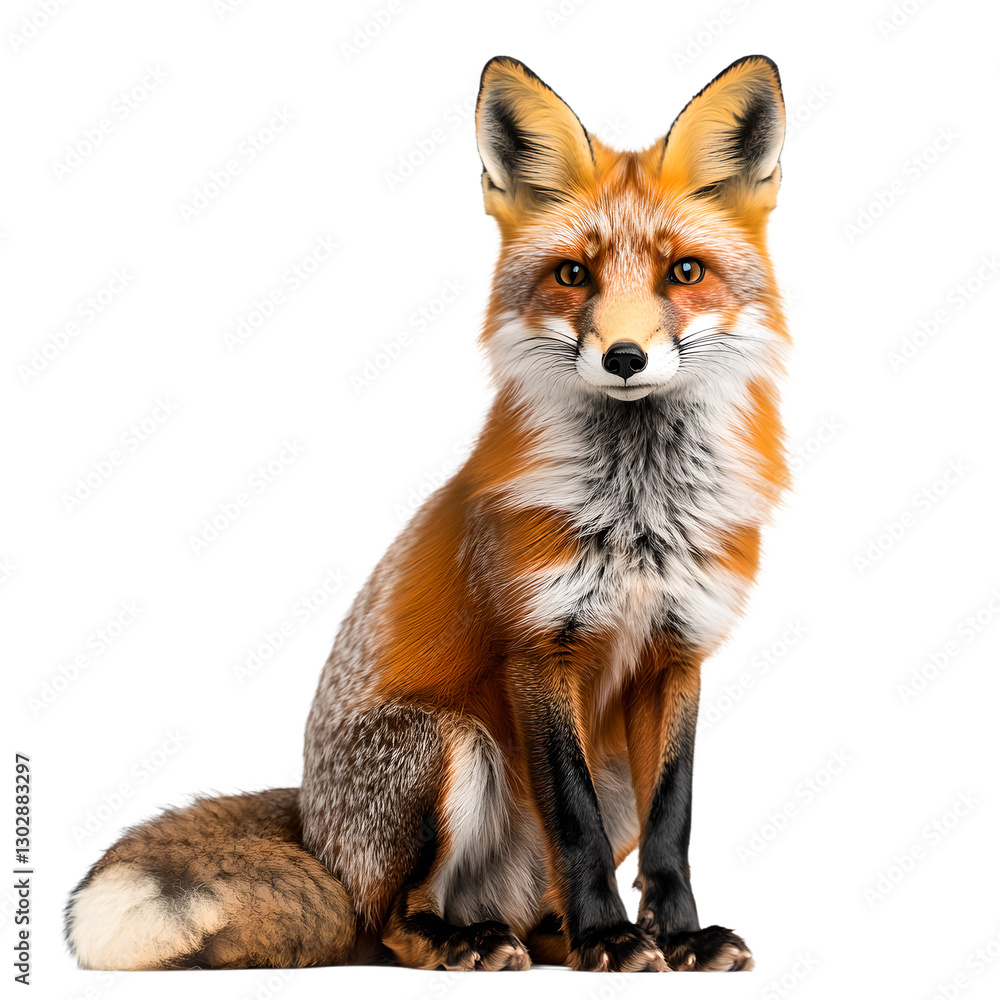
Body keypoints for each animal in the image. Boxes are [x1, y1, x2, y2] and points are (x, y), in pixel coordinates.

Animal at [66, 53, 788, 973]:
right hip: (446, 744)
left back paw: (557, 935)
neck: (637, 513)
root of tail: (315, 825)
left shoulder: (679, 652)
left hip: (605, 768)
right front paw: (611, 938)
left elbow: (675, 823)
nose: (625, 357)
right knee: (390, 919)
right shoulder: (537, 648)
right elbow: (574, 822)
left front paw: (680, 936)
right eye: (574, 274)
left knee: (534, 902)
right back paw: (478, 938)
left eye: (684, 273)